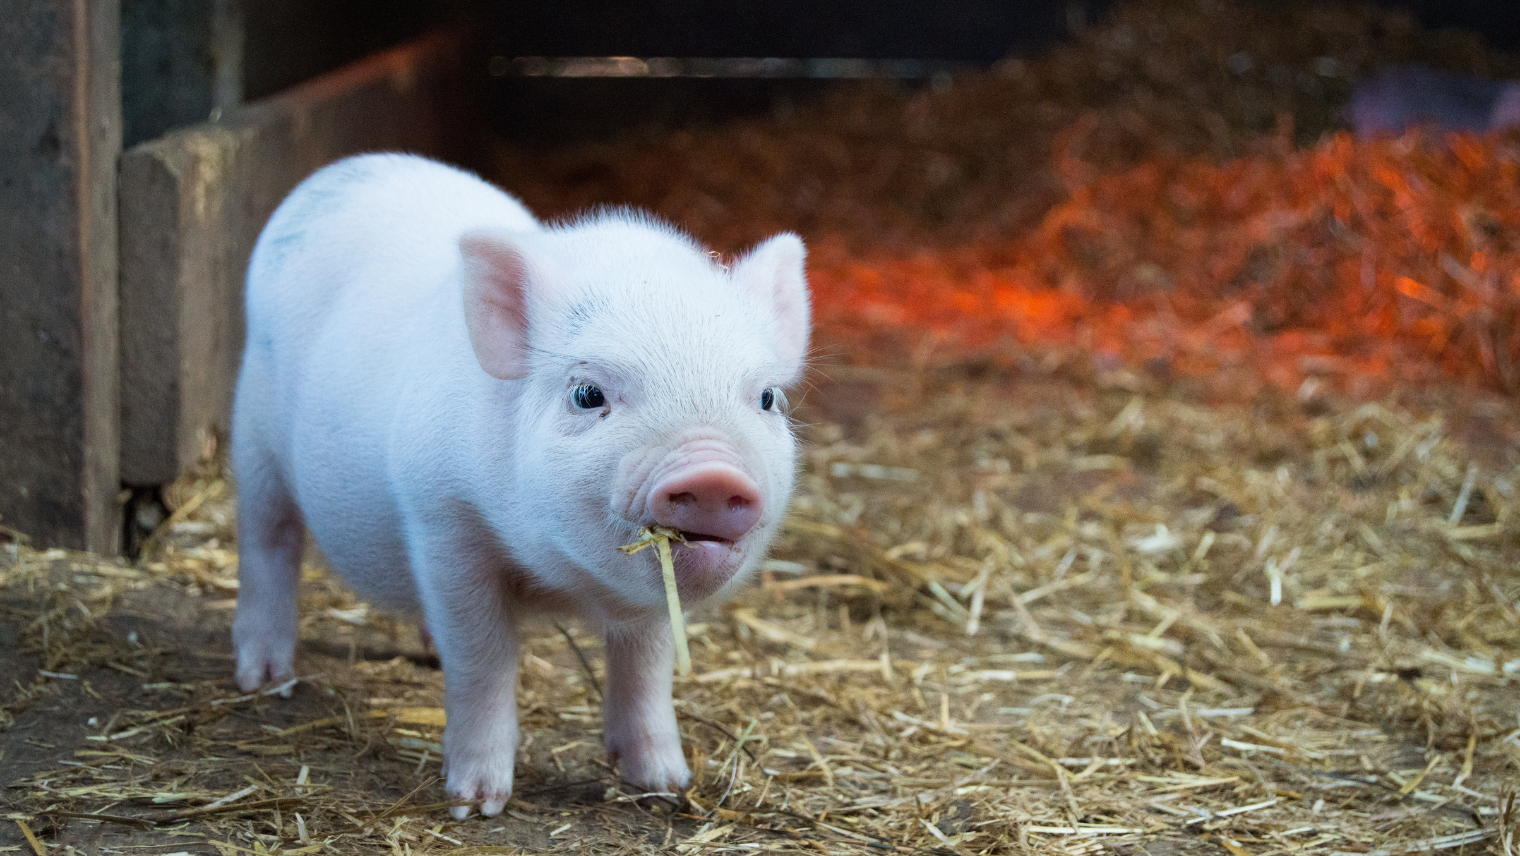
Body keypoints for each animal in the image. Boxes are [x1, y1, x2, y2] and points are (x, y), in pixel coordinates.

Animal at [230, 153, 809, 819]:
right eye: (587, 393)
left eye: (766, 398)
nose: (712, 472)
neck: (561, 581)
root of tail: (346, 169)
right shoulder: (442, 520)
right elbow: (482, 658)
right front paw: (475, 804)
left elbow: (646, 666)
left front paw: (666, 785)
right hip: (253, 435)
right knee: (268, 540)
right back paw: (264, 680)